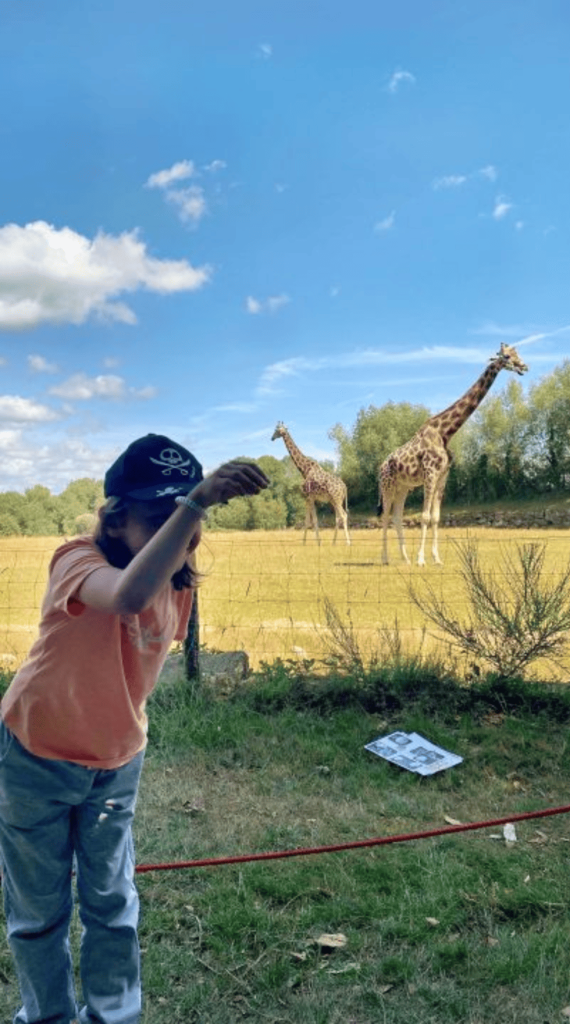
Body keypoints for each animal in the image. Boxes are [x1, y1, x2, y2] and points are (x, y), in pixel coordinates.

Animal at [376, 344, 528, 569]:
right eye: (508, 356)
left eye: (518, 354)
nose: (524, 366)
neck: (445, 432)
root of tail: (380, 467)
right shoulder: (430, 473)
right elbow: (425, 516)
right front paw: (421, 559)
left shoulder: (443, 476)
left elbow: (436, 517)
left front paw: (436, 558)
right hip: (387, 485)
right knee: (385, 516)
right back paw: (385, 558)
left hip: (403, 487)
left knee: (396, 516)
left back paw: (405, 559)